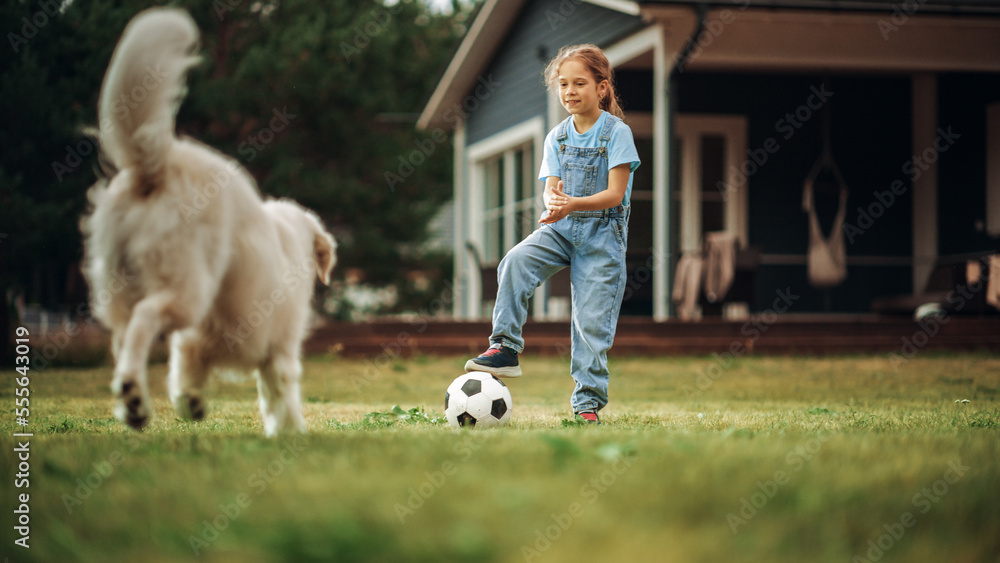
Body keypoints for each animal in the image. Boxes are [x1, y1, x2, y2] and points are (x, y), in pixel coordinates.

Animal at [79, 7, 336, 436]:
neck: (291, 234)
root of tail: (157, 163)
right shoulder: (279, 348)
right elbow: (280, 396)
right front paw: (291, 431)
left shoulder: (196, 342)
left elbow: (186, 375)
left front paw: (192, 402)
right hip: (187, 288)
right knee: (146, 318)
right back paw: (133, 396)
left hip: (120, 287)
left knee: (123, 336)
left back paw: (132, 404)